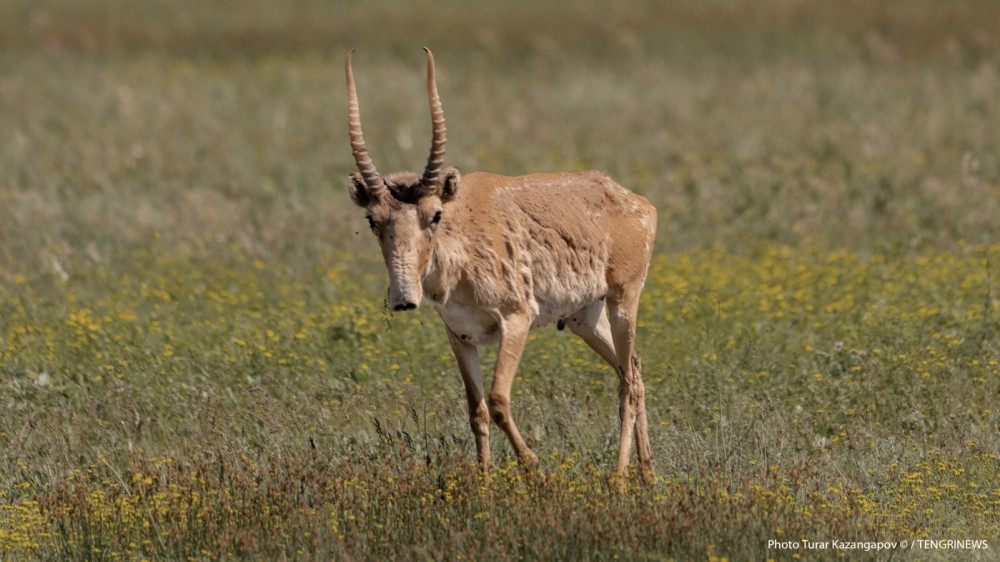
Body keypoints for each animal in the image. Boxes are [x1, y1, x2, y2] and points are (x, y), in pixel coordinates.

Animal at [344, 49, 656, 476]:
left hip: (624, 299)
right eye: (372, 219)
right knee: (634, 368)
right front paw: (485, 481)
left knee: (628, 382)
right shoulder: (460, 335)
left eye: (435, 214)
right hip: (584, 318)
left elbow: (497, 401)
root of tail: (636, 202)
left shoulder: (516, 319)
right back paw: (648, 473)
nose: (404, 299)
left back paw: (620, 478)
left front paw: (535, 469)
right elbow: (475, 410)